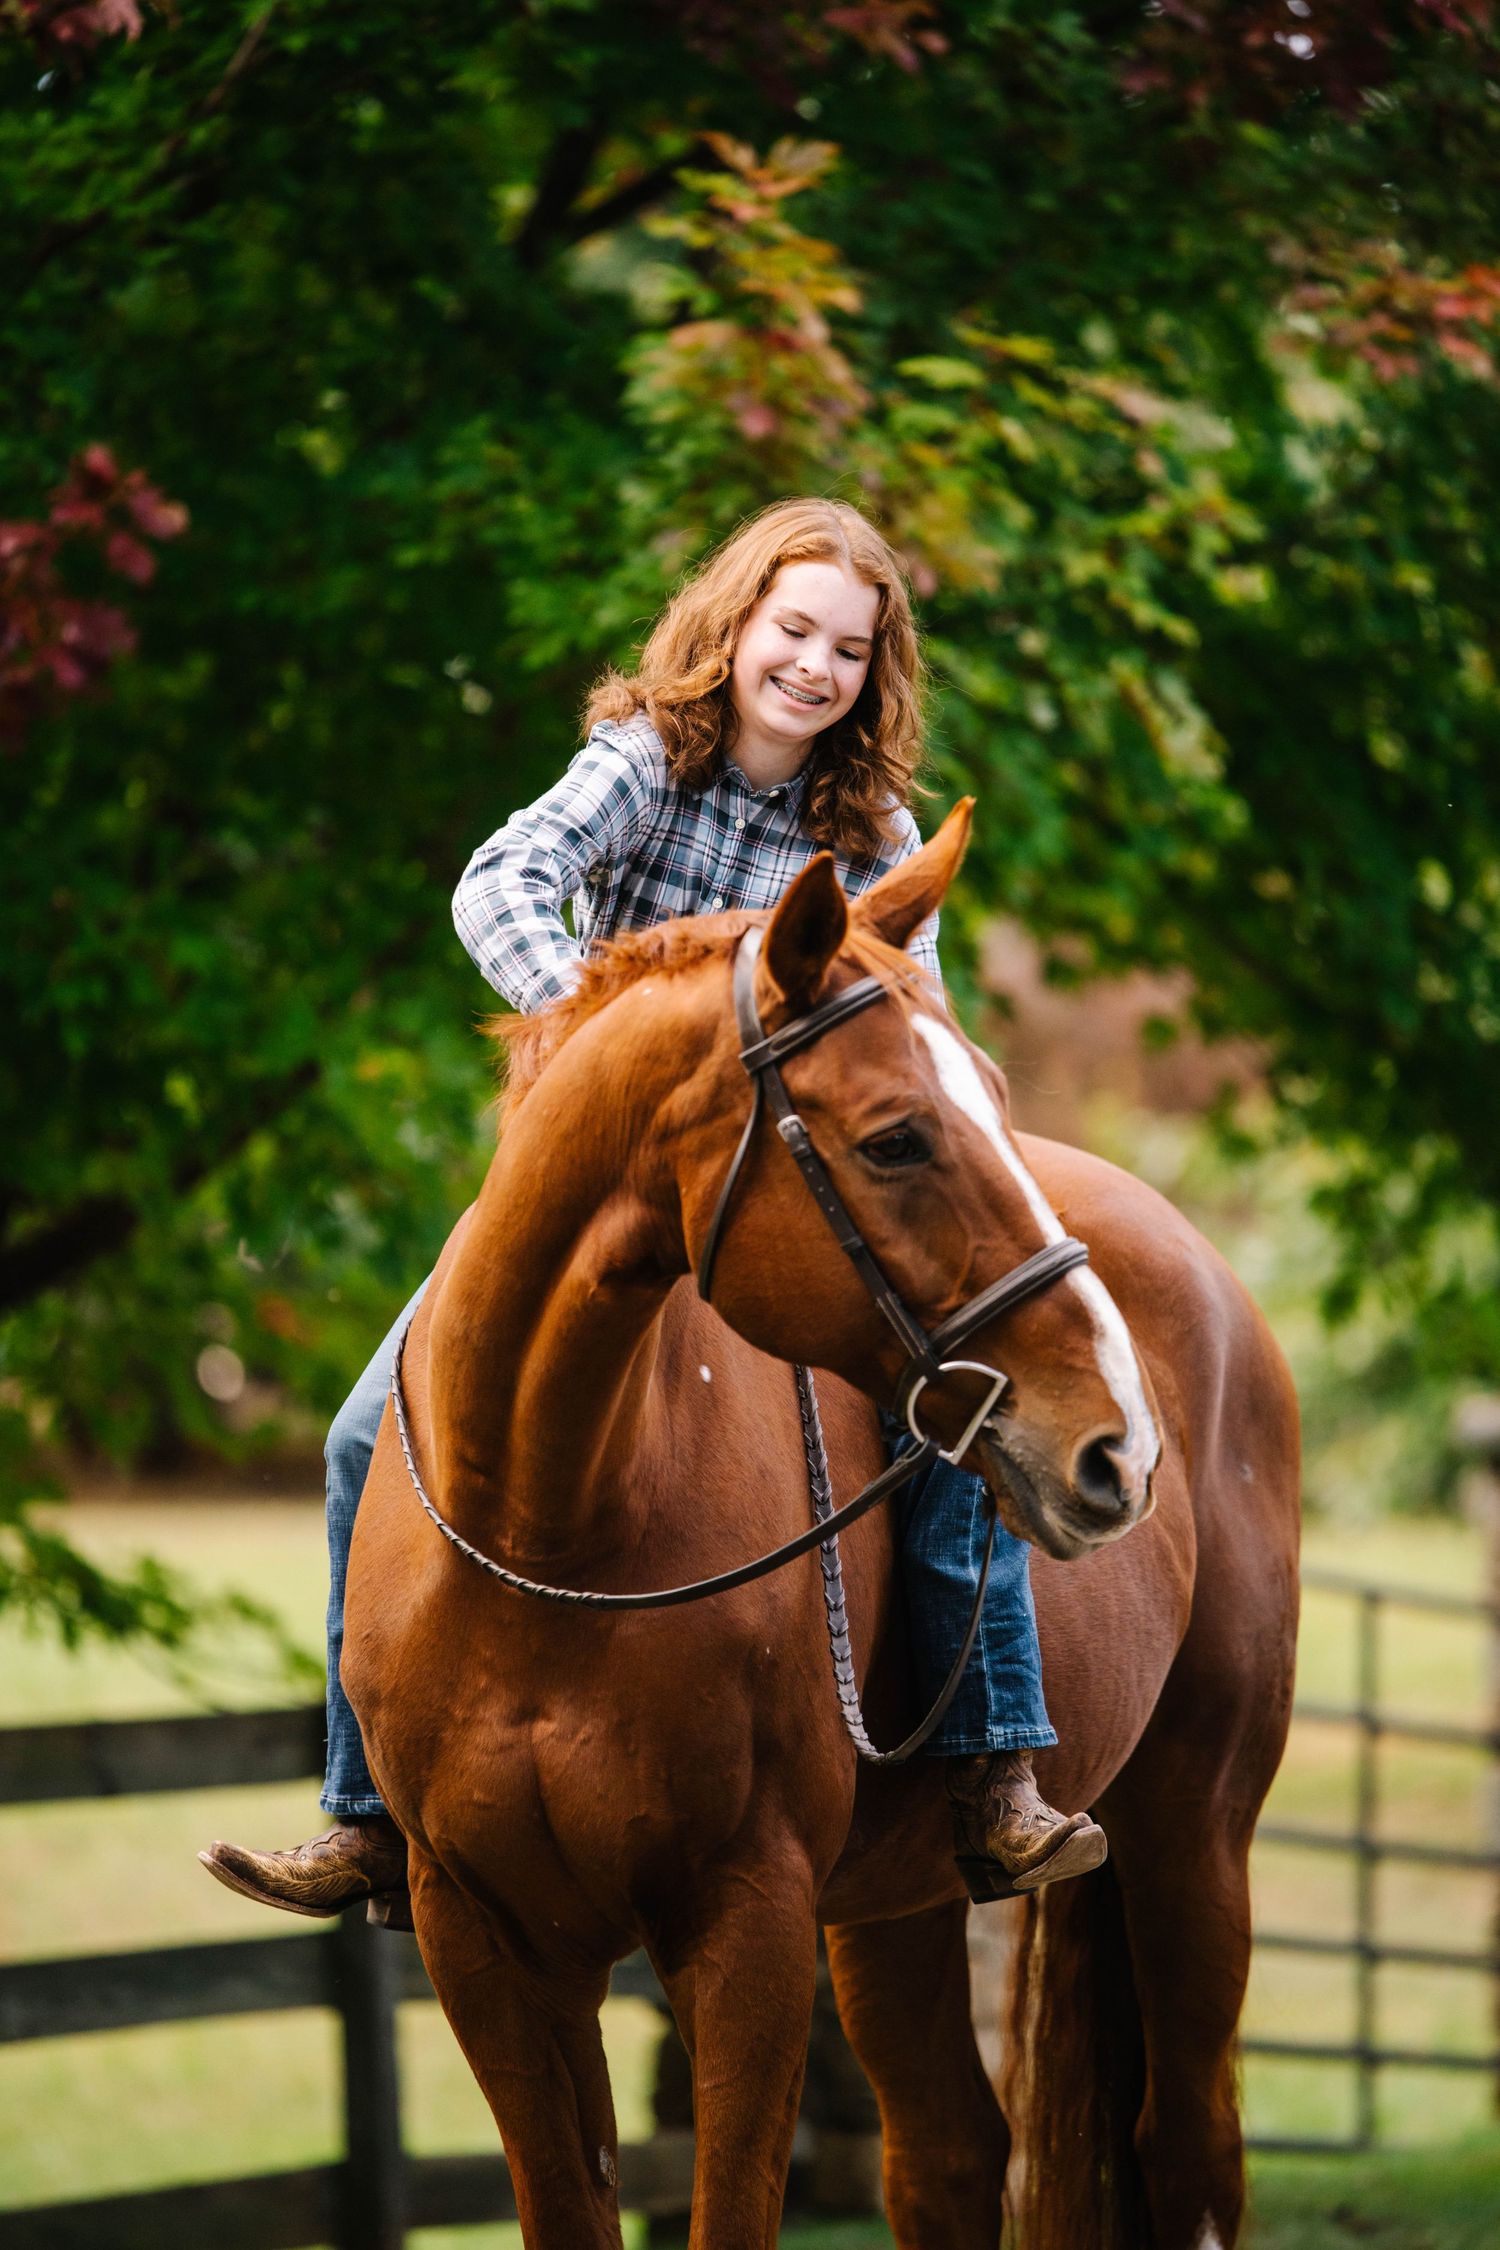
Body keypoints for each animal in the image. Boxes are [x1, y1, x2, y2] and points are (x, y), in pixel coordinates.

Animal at [341, 800, 1300, 2250]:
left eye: (996, 1101)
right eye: (897, 1137)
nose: (1120, 1443)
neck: (555, 1531)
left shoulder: (750, 1925)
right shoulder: (488, 1942)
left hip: (1194, 1836)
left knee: (1190, 2154)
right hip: (897, 1907)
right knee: (950, 2155)